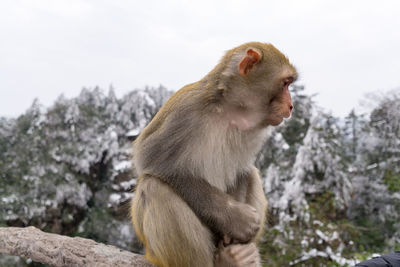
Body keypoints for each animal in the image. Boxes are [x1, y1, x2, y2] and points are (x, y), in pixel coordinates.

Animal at [131, 42, 296, 267]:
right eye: (285, 83)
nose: (291, 105)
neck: (230, 110)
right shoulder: (184, 113)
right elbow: (154, 162)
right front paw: (236, 219)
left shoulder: (253, 131)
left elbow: (241, 172)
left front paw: (234, 238)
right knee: (154, 186)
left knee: (252, 173)